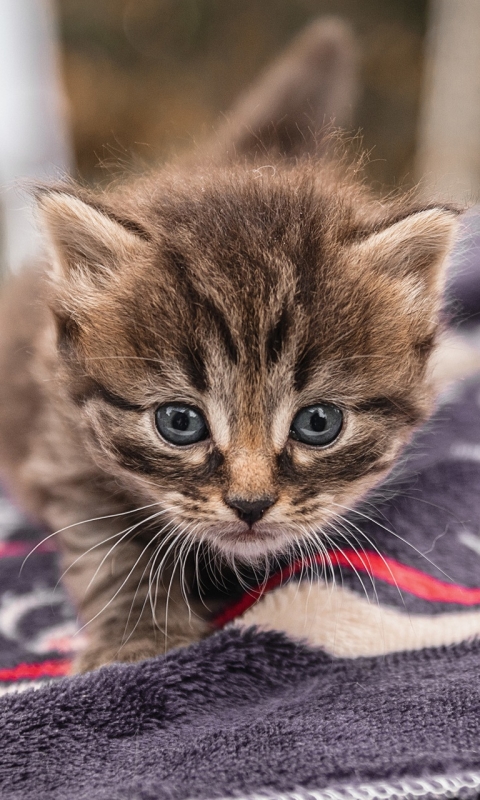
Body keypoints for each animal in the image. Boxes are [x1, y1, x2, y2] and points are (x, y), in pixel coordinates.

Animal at [0, 21, 458, 672]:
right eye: (179, 422)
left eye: (319, 422)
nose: (250, 504)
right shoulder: (64, 449)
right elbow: (110, 552)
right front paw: (138, 642)